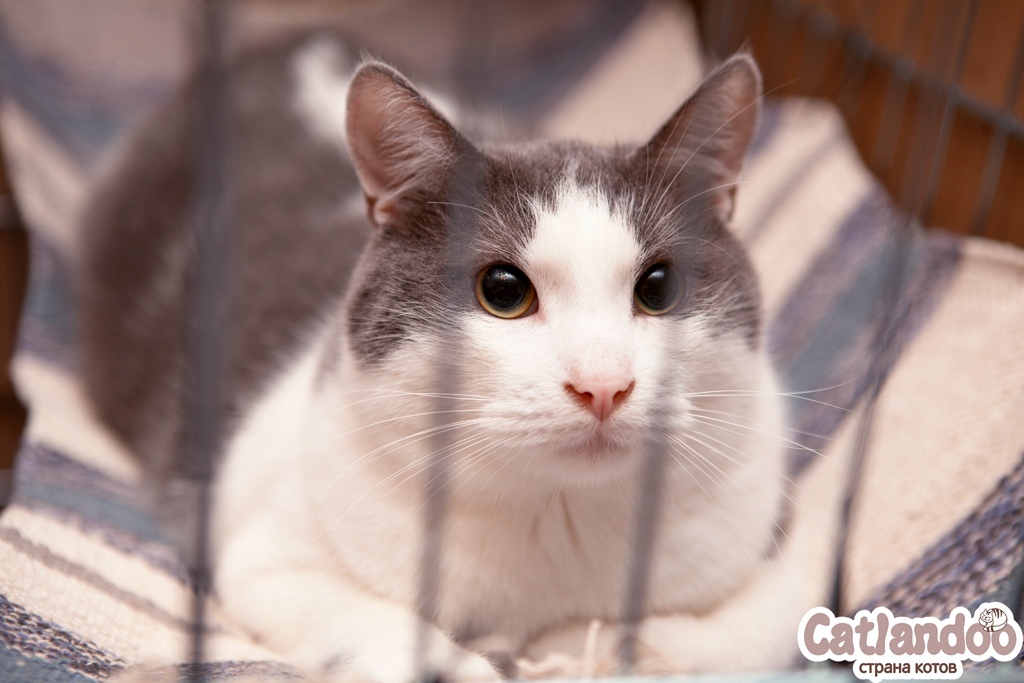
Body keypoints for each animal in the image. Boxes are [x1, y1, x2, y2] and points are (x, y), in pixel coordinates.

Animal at [78, 30, 802, 683]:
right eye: (503, 292)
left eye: (658, 289)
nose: (603, 385)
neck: (558, 516)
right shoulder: (268, 557)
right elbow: (390, 634)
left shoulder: (776, 542)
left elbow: (758, 630)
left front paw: (586, 644)